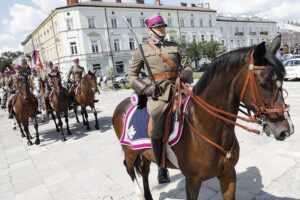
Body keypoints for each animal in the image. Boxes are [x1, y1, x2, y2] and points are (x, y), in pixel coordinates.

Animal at [111, 35, 294, 199]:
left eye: (282, 79)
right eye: (263, 83)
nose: (287, 130)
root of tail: (122, 104)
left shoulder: (228, 175)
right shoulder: (192, 181)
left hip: (145, 153)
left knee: (145, 170)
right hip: (130, 151)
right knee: (130, 169)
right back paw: (140, 193)